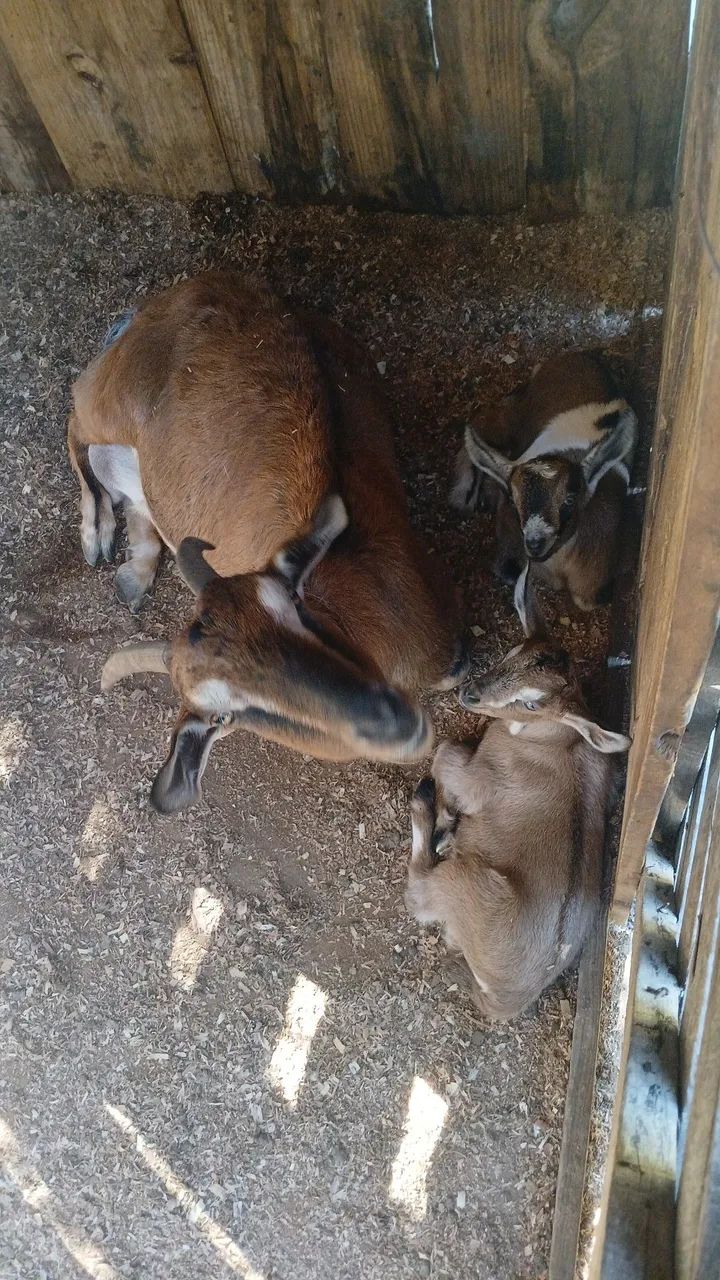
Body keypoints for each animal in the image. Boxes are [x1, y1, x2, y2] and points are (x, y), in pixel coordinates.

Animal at [68, 272, 467, 814]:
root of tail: (162, 304)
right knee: (76, 425)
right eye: (225, 715)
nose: (387, 721)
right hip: (105, 405)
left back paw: (134, 565)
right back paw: (100, 536)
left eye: (294, 606)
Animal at [405, 577, 629, 1020]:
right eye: (510, 653)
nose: (471, 694)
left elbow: (446, 753)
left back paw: (427, 811)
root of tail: (504, 998)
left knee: (420, 891)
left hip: (463, 884)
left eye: (530, 702)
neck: (559, 742)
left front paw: (445, 815)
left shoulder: (482, 780)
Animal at [451, 351, 638, 611]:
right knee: (483, 421)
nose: (535, 542)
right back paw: (465, 493)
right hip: (515, 414)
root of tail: (578, 356)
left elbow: (585, 602)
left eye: (570, 498)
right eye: (514, 500)